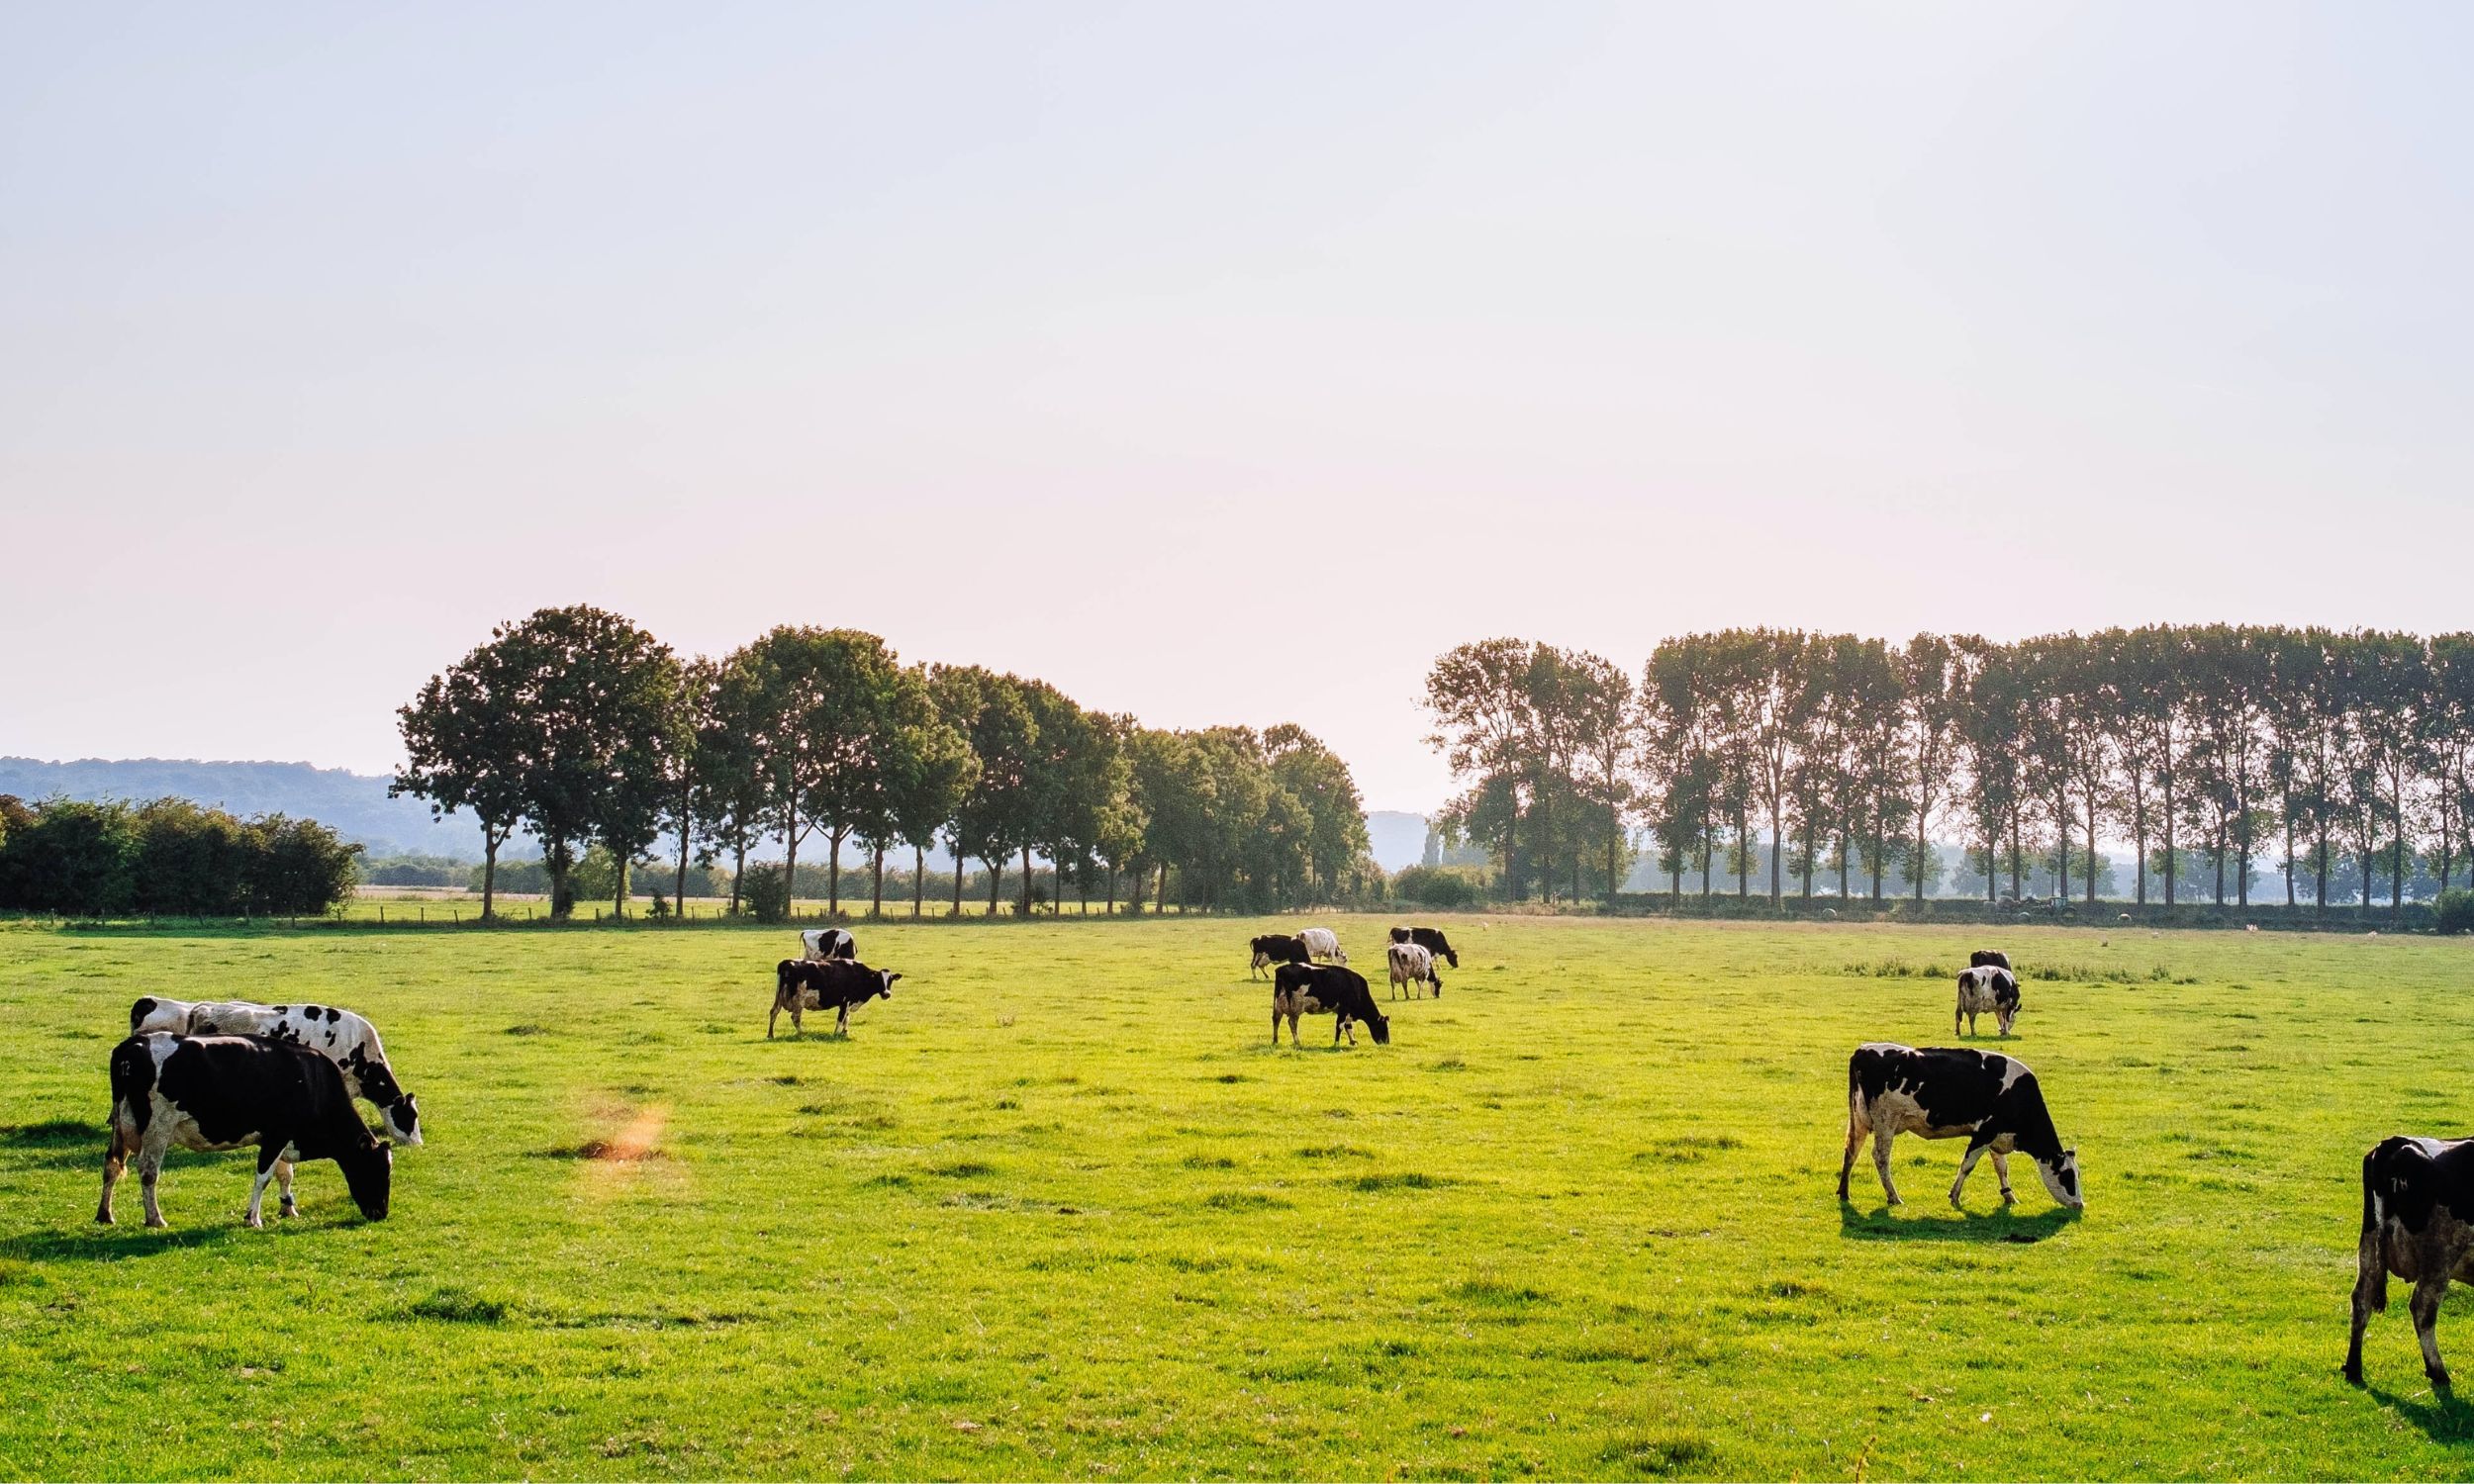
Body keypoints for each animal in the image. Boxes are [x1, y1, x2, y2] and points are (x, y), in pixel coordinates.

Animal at [100, 1034, 391, 1227]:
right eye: (377, 1170)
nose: (382, 1213)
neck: (312, 1081)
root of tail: (133, 1044)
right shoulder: (277, 1134)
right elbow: (263, 1177)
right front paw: (253, 1218)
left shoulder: (278, 1139)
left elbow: (284, 1174)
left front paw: (288, 1208)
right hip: (157, 1127)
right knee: (148, 1172)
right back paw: (155, 1218)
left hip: (120, 1125)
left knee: (111, 1165)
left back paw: (105, 1214)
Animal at [767, 955, 905, 1039]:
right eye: (879, 979)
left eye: (890, 980)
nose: (887, 994)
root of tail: (787, 962)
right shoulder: (845, 1002)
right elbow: (840, 1019)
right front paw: (835, 1034)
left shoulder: (848, 1003)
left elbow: (846, 1019)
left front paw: (845, 1033)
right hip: (798, 1001)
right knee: (795, 1018)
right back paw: (802, 1034)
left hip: (778, 997)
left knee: (774, 1012)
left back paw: (770, 1035)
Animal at [1841, 1039, 2088, 1212]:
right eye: (2067, 1176)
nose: (2080, 1204)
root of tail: (1864, 1049)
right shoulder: (1984, 1132)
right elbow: (1968, 1165)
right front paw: (1954, 1196)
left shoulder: (1998, 1135)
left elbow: (2001, 1167)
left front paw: (2009, 1196)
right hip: (1885, 1123)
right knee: (1881, 1157)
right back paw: (1893, 1197)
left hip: (1859, 1120)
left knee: (1851, 1150)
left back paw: (1843, 1193)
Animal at [2335, 1138, 2474, 1395]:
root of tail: (2397, 1142)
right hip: (2439, 1256)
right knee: (2422, 1309)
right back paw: (2438, 1372)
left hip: (2369, 1245)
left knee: (2361, 1300)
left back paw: (2354, 1369)